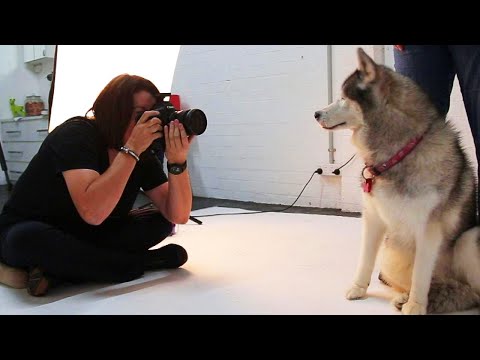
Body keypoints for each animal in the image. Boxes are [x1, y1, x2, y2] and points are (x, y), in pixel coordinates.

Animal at [316, 48, 480, 316]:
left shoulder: (429, 228)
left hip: (468, 239)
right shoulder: (373, 217)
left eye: (343, 97)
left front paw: (416, 305)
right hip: (392, 253)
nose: (316, 113)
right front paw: (358, 288)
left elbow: (420, 275)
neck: (398, 153)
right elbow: (365, 259)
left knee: (473, 292)